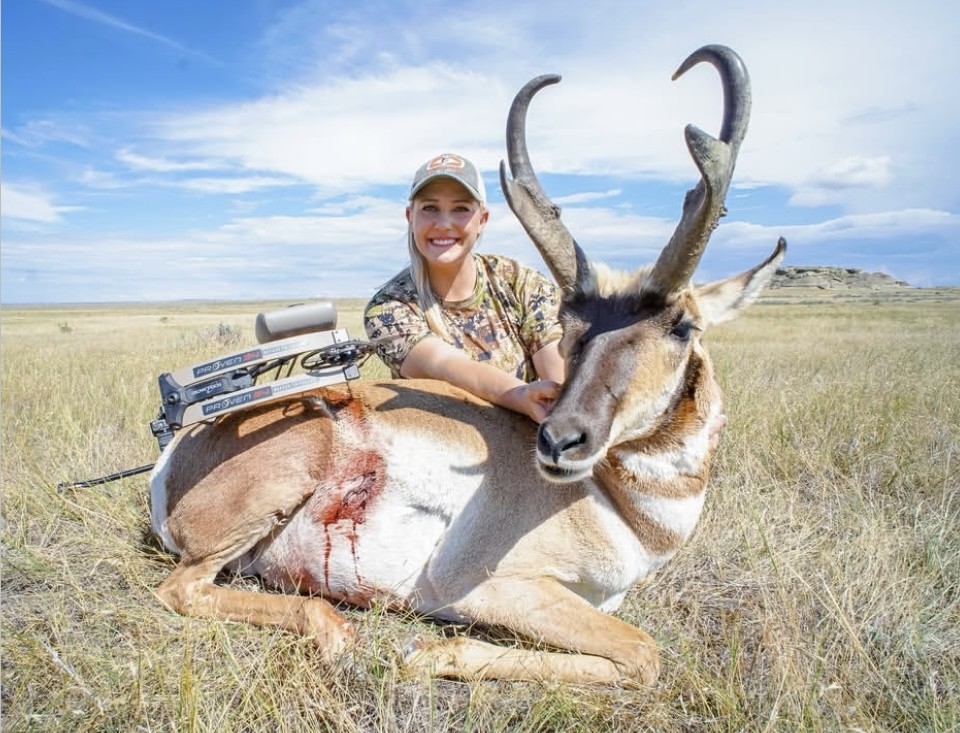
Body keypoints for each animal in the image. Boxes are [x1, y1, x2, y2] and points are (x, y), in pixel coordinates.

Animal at [149, 44, 785, 685]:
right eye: (569, 319)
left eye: (683, 326)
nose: (560, 441)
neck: (621, 507)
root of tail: (172, 457)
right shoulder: (486, 584)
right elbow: (642, 652)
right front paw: (432, 652)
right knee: (179, 590)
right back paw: (336, 632)